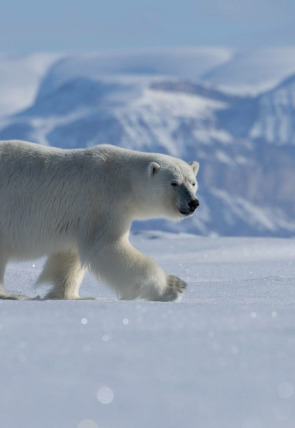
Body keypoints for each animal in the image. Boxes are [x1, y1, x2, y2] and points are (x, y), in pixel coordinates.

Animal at [0, 140, 200, 300]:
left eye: (192, 182)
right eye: (174, 183)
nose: (193, 202)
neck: (124, 181)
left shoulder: (78, 219)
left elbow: (69, 257)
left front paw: (71, 296)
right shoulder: (102, 205)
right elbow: (107, 247)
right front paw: (174, 287)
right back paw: (11, 295)